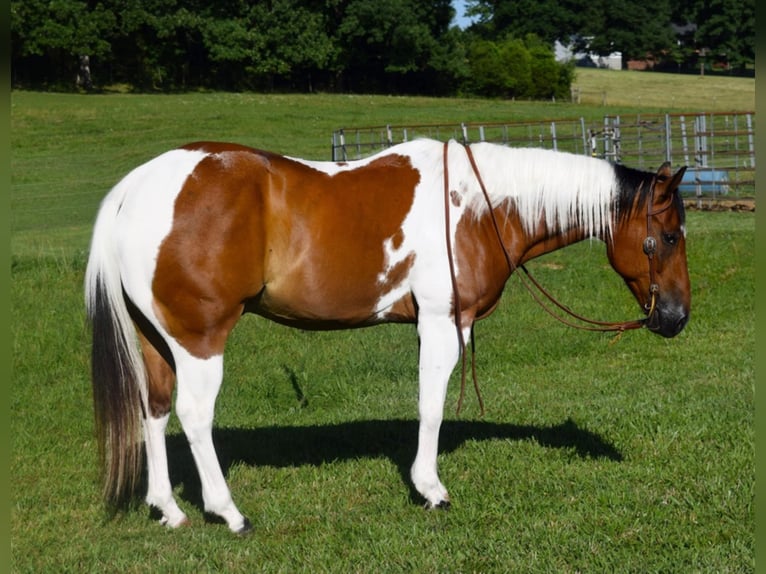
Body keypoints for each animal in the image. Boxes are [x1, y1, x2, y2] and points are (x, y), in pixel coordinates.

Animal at [87, 138, 692, 536]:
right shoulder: (445, 323)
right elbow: (432, 407)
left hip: (155, 338)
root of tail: (135, 187)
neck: (479, 206)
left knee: (153, 409)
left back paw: (168, 509)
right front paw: (430, 489)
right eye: (667, 236)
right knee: (193, 415)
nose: (677, 317)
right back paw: (227, 511)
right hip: (200, 337)